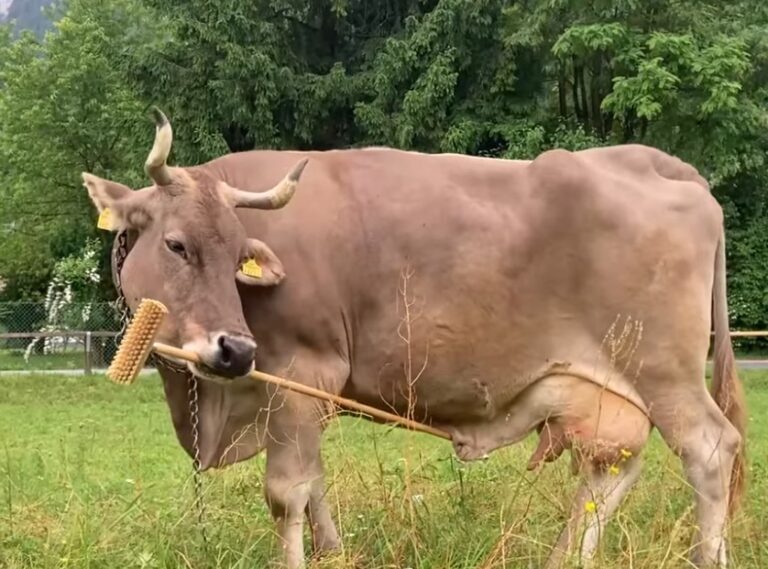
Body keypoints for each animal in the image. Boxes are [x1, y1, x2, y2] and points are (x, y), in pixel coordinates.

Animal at [83, 109, 746, 569]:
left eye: (235, 256)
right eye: (177, 245)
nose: (235, 350)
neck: (213, 408)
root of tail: (654, 160)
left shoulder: (303, 373)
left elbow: (288, 491)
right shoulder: (298, 394)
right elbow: (316, 482)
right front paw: (334, 552)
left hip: (666, 373)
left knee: (711, 450)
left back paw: (705, 557)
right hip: (612, 391)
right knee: (610, 471)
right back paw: (565, 558)